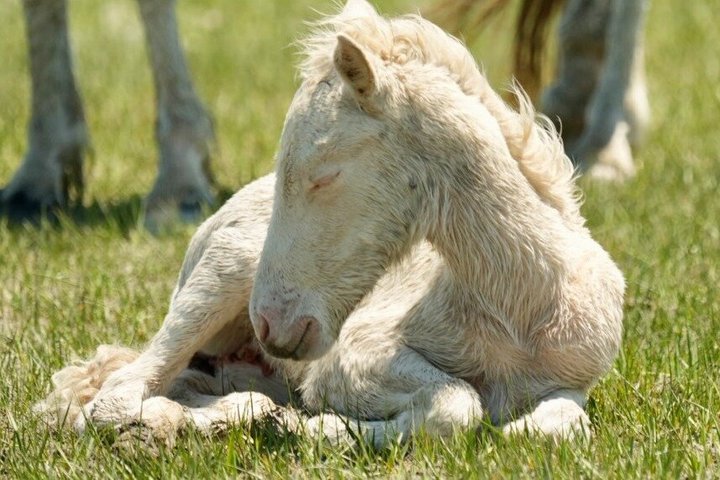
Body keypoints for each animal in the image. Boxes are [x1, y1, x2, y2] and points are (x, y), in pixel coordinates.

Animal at [36, 0, 624, 447]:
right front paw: (321, 428)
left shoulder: (571, 380)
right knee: (114, 395)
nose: (270, 322)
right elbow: (458, 405)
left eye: (323, 175)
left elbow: (550, 427)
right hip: (221, 277)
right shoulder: (353, 355)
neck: (520, 306)